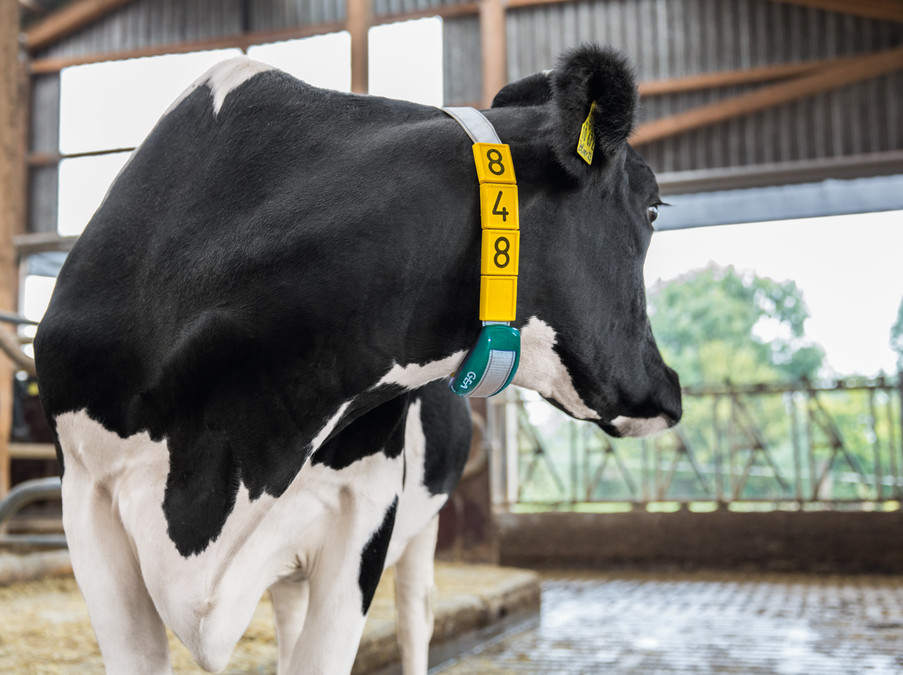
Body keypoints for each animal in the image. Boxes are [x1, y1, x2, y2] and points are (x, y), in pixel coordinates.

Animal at [34, 43, 681, 674]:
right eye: (652, 209)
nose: (671, 387)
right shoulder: (86, 504)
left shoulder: (363, 516)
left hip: (422, 527)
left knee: (417, 618)